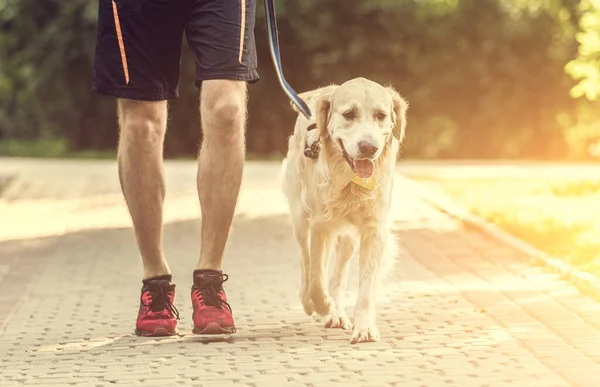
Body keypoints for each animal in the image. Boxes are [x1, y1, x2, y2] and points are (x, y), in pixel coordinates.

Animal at [282, 77, 408, 344]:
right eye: (349, 114)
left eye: (381, 115)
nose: (368, 147)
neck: (350, 181)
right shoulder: (321, 226)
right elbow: (316, 280)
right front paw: (323, 306)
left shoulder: (373, 230)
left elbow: (365, 288)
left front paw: (364, 328)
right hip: (301, 218)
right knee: (305, 262)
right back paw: (314, 305)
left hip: (348, 238)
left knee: (337, 276)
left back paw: (337, 312)